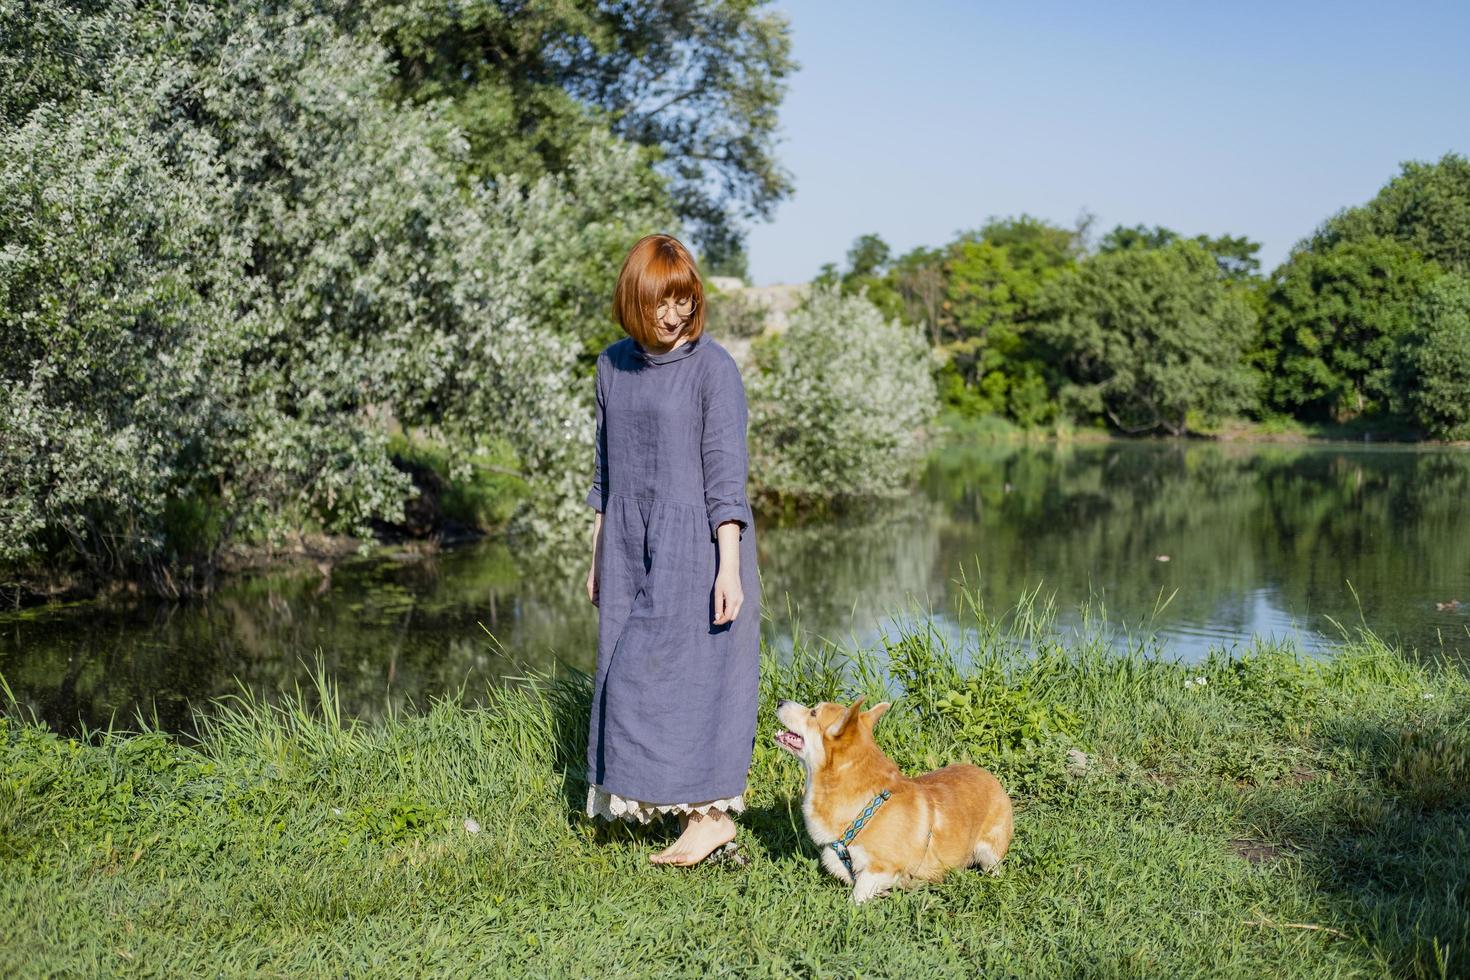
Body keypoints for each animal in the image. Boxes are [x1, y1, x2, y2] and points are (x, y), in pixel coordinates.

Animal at [782, 696, 1011, 905]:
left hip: (988, 851)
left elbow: (857, 895)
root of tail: (990, 777)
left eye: (813, 713)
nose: (780, 702)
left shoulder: (880, 868)